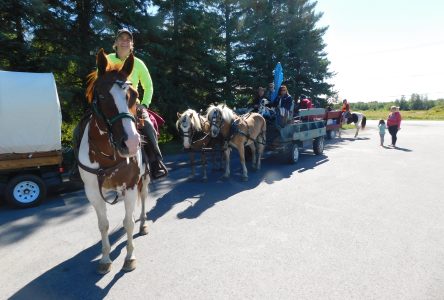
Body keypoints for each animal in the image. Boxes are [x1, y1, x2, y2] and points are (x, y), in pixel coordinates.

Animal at [79, 49, 150, 274]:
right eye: (101, 96)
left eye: (134, 95)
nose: (131, 142)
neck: (107, 154)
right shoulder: (93, 192)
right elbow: (103, 225)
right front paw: (105, 258)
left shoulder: (130, 186)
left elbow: (128, 223)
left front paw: (129, 257)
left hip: (144, 179)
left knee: (143, 198)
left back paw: (143, 224)